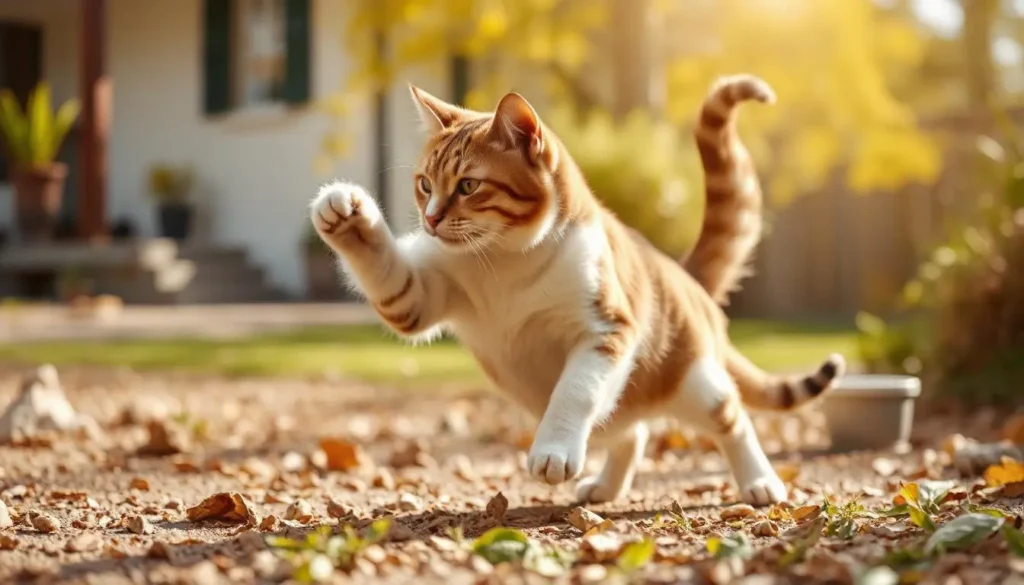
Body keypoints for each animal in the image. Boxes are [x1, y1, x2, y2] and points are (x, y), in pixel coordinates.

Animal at [309, 74, 847, 504]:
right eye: (424, 184)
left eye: (467, 186)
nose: (432, 219)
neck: (504, 262)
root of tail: (686, 275)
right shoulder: (418, 298)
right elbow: (388, 274)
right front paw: (346, 214)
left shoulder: (606, 331)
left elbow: (576, 392)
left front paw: (553, 450)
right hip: (630, 403)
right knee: (632, 433)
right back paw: (607, 487)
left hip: (696, 383)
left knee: (731, 420)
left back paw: (761, 482)